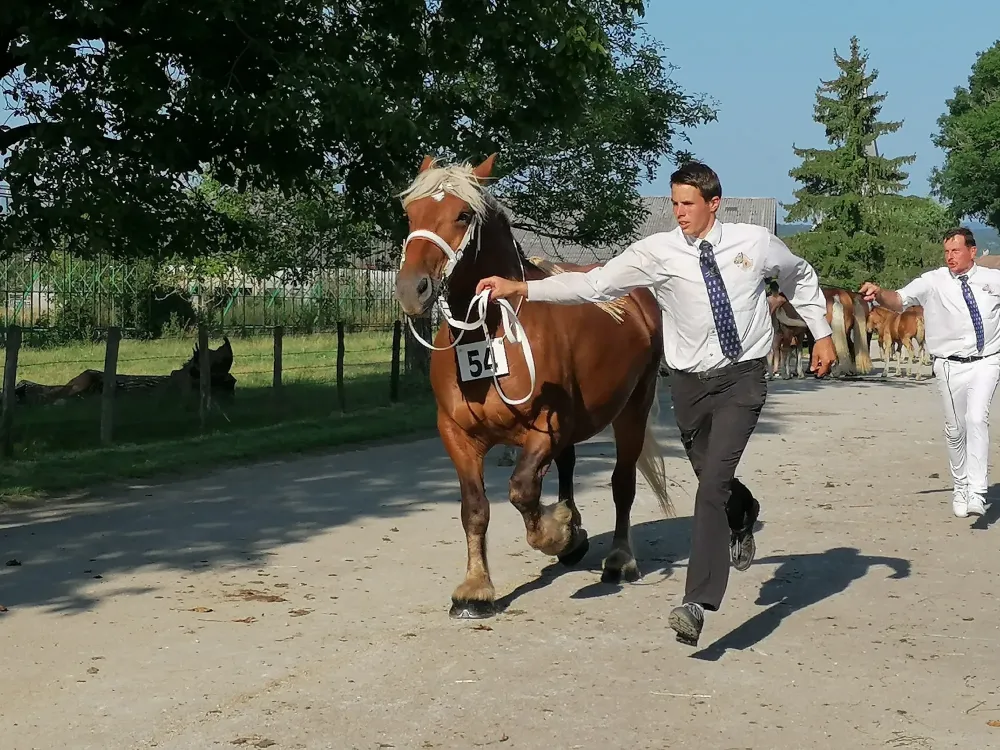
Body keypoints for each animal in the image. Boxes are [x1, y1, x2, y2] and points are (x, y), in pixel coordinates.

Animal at [393, 154, 674, 619]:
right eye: (410, 214)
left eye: (463, 214)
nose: (411, 289)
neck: (490, 329)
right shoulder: (456, 433)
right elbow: (475, 509)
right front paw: (475, 590)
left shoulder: (546, 427)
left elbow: (523, 491)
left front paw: (558, 533)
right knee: (569, 466)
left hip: (634, 407)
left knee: (622, 483)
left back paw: (618, 558)